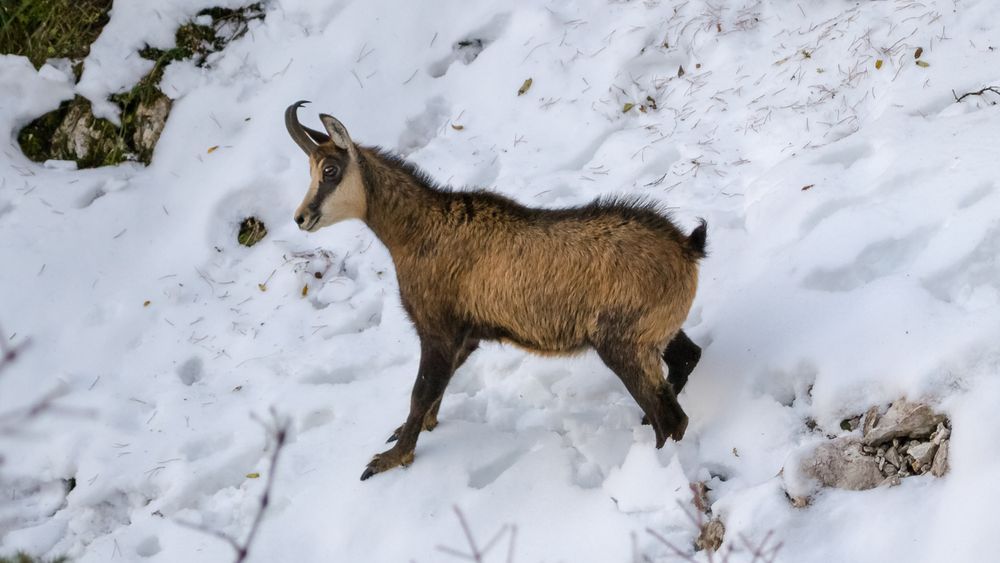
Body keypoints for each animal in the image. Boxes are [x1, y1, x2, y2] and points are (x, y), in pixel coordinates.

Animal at [285, 101, 706, 481]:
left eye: (330, 170)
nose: (301, 217)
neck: (417, 231)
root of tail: (687, 248)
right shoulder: (469, 334)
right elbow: (437, 387)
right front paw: (416, 427)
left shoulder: (439, 329)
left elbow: (421, 392)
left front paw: (390, 458)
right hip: (652, 332)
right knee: (687, 358)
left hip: (622, 344)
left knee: (671, 419)